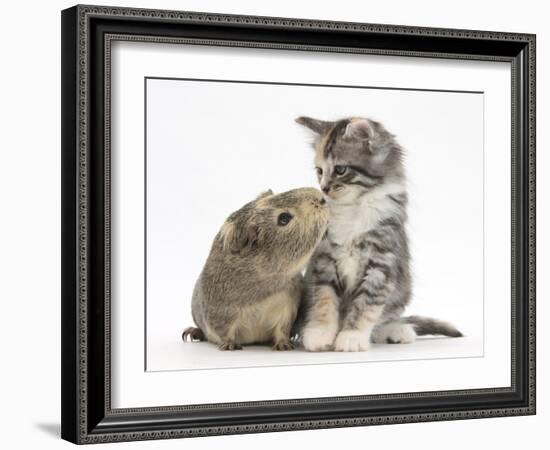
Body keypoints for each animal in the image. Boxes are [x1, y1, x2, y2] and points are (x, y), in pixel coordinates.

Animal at [296, 116, 464, 352]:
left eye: (340, 170)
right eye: (319, 171)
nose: (324, 188)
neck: (354, 207)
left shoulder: (381, 262)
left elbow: (366, 305)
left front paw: (351, 337)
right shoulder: (325, 260)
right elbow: (324, 299)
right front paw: (320, 333)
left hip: (401, 292)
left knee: (384, 320)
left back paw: (397, 331)